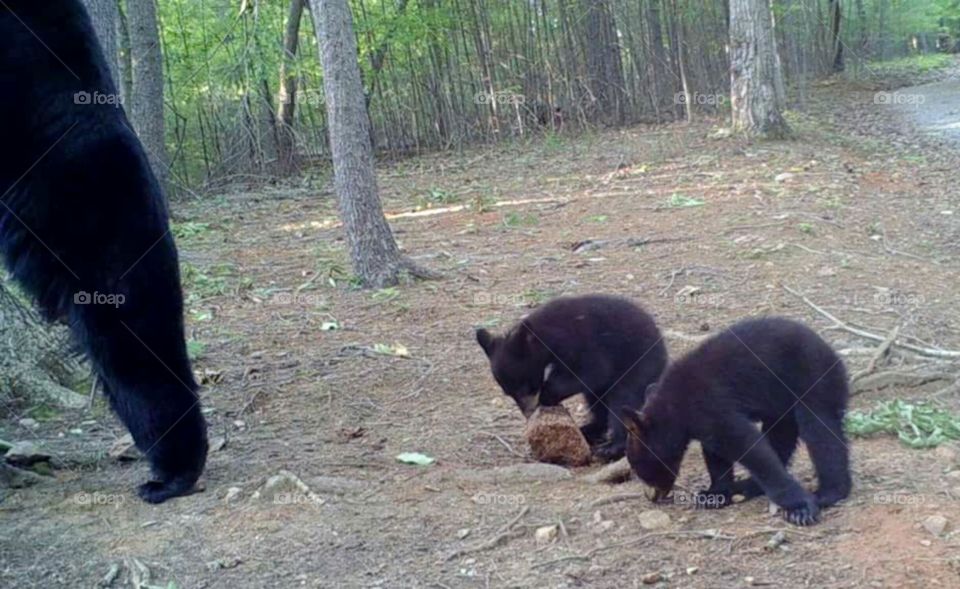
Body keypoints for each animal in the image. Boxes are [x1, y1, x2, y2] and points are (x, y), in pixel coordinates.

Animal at [474, 294, 668, 460]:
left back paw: (611, 447)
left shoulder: (584, 342)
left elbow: (593, 371)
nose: (528, 412)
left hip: (638, 366)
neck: (546, 333)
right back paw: (588, 429)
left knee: (623, 399)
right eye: (509, 393)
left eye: (525, 387)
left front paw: (547, 395)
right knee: (597, 402)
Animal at [628, 316, 852, 524]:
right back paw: (748, 487)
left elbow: (750, 447)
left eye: (638, 469)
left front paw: (800, 508)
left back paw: (828, 492)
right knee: (781, 437)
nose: (651, 496)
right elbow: (716, 454)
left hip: (812, 380)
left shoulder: (709, 405)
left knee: (820, 432)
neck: (673, 408)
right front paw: (715, 494)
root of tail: (833, 354)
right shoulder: (706, 421)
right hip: (782, 405)